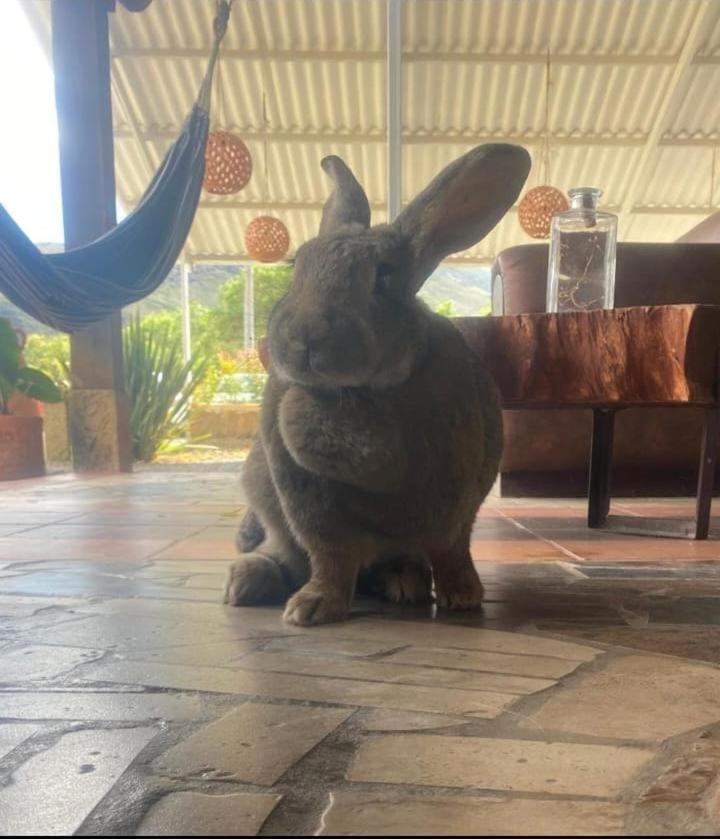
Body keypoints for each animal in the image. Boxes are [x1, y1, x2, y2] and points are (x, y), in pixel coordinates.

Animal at [222, 144, 532, 628]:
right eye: (297, 268)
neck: (365, 391)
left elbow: (453, 549)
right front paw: (312, 608)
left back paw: (404, 583)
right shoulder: (307, 502)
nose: (304, 337)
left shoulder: (459, 497)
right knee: (286, 552)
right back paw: (247, 581)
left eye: (384, 277)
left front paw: (464, 595)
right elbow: (329, 556)